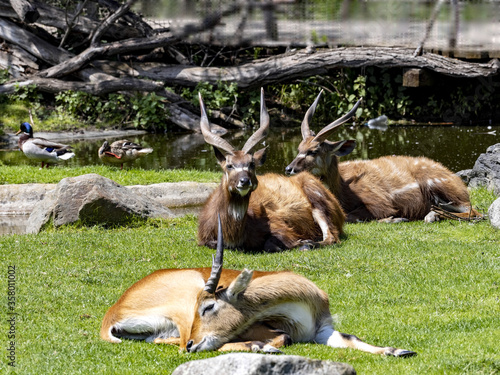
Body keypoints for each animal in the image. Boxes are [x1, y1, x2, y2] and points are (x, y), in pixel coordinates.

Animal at [99, 214, 416, 358]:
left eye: (209, 306)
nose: (192, 344)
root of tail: (111, 314)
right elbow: (282, 337)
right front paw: (263, 346)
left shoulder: (322, 330)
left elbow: (351, 338)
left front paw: (398, 350)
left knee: (162, 341)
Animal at [197, 88, 346, 253]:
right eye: (229, 165)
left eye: (251, 164)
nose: (244, 181)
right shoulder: (205, 240)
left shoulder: (280, 226)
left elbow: (272, 244)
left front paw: (303, 242)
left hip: (318, 203)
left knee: (332, 237)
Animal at [284, 90, 482, 223]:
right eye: (299, 148)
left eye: (314, 151)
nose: (288, 169)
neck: (343, 188)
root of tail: (456, 180)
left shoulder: (379, 204)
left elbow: (353, 216)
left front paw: (396, 219)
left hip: (443, 188)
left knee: (475, 211)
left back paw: (433, 216)